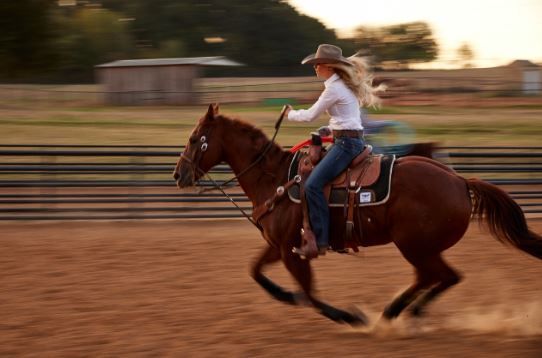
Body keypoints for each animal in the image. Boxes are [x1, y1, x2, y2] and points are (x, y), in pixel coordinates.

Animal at [175, 103, 542, 324]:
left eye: (195, 139)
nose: (178, 175)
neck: (275, 179)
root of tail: (459, 181)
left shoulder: (295, 252)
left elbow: (311, 294)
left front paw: (350, 317)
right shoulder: (280, 246)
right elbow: (257, 273)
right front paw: (287, 297)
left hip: (415, 245)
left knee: (442, 276)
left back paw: (398, 313)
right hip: (421, 248)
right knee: (436, 277)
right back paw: (399, 312)